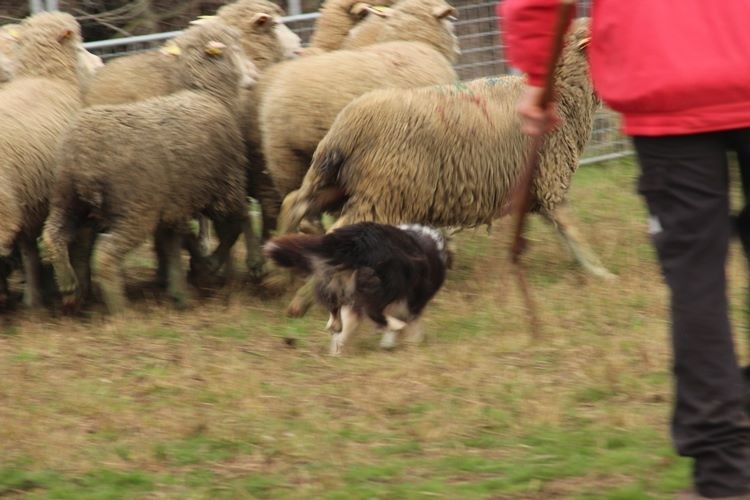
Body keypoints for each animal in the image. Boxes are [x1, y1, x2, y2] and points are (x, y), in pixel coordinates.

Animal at [0, 11, 103, 308]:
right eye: (80, 47)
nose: (100, 63)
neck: (49, 76)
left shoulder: (28, 200)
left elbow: (29, 252)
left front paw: (33, 298)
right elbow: (80, 246)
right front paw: (75, 287)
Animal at [42, 23, 258, 314]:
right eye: (235, 48)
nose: (254, 76)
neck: (207, 93)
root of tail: (84, 161)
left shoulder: (175, 205)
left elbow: (175, 243)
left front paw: (184, 286)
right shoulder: (227, 185)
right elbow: (239, 222)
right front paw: (239, 262)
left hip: (66, 198)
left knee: (54, 235)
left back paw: (69, 287)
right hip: (135, 209)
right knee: (106, 253)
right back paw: (119, 310)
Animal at [264, 223, 452, 356]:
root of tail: (355, 240)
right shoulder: (414, 298)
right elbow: (411, 320)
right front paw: (408, 342)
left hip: (335, 282)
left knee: (336, 313)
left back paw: (335, 330)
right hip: (384, 283)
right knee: (375, 312)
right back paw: (395, 326)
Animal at [280, 20, 612, 316]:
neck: (563, 96)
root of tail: (346, 127)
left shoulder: (539, 185)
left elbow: (564, 231)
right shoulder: (550, 180)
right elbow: (571, 228)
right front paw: (601, 272)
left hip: (338, 182)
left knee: (294, 203)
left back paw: (279, 272)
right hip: (382, 194)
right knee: (335, 232)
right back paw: (301, 299)